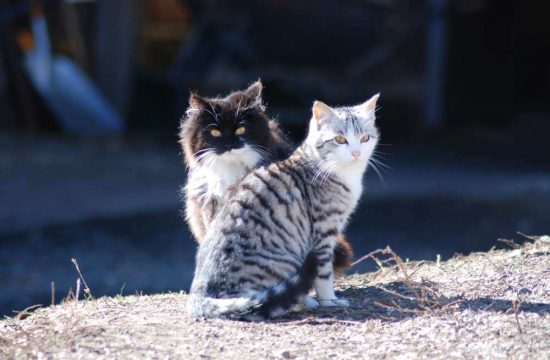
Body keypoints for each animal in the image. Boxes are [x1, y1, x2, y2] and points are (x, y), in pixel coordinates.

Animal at [188, 93, 382, 318]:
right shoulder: (324, 233)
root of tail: (199, 295)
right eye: (340, 139)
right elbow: (324, 274)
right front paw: (329, 300)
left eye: (365, 138)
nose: (356, 153)